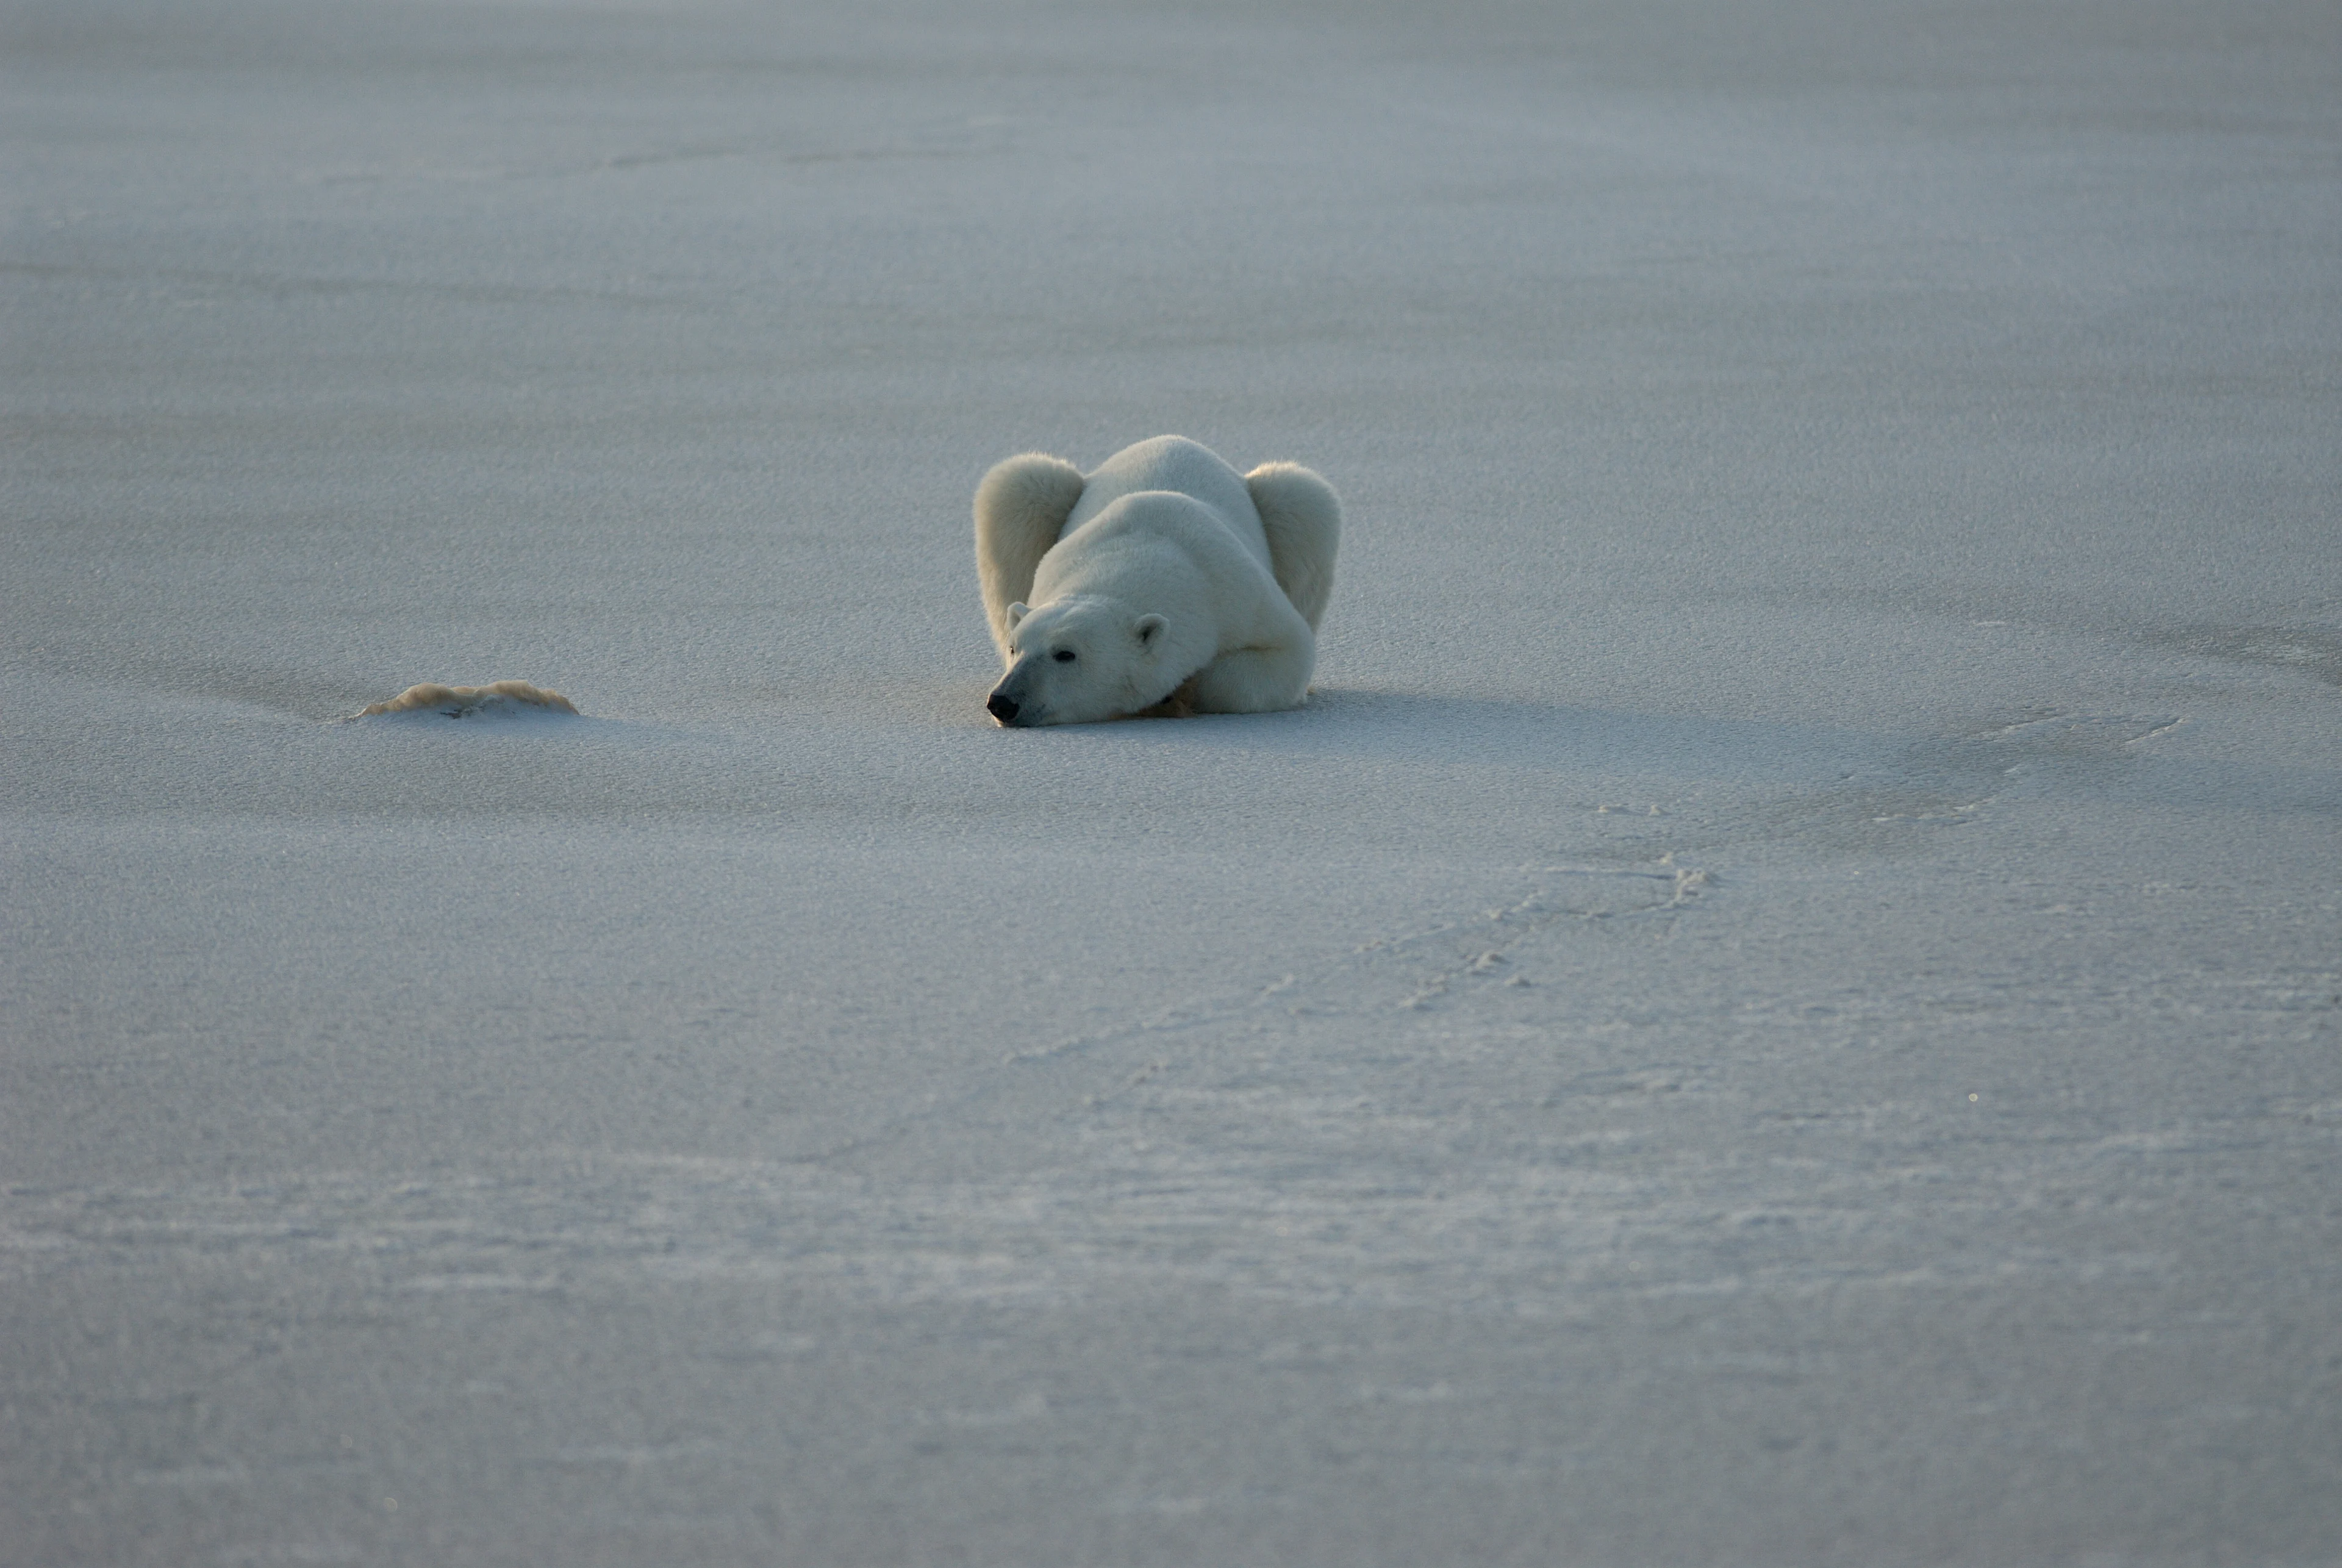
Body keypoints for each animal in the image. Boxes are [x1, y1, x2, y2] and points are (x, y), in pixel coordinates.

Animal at [974, 435, 1340, 726]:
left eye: (1066, 654)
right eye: (1015, 648)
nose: (1003, 702)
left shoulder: (1240, 593)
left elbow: (1287, 651)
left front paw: (1180, 694)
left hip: (1287, 508)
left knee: (1304, 503)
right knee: (1017, 488)